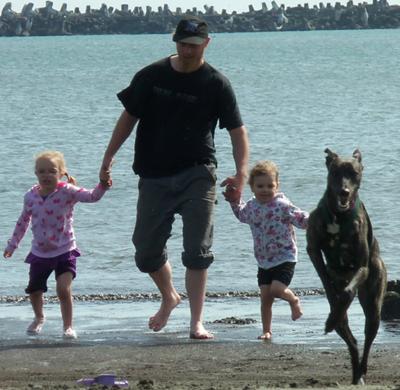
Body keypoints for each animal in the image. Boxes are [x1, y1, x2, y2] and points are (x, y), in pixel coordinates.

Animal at [306, 149, 388, 384]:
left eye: (354, 173)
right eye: (335, 172)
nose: (344, 191)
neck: (339, 216)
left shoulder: (363, 266)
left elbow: (348, 291)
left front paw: (342, 299)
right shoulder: (313, 250)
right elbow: (326, 280)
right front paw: (334, 304)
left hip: (374, 300)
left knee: (368, 336)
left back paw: (361, 371)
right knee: (351, 339)